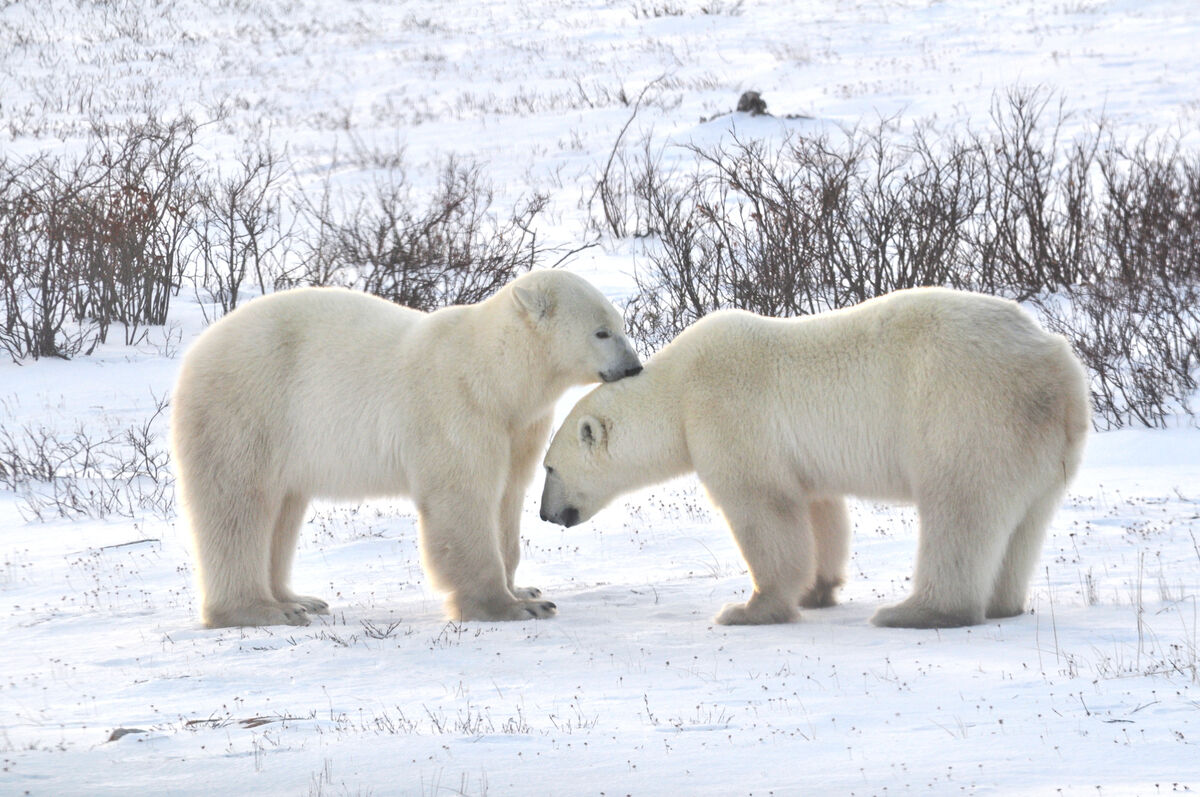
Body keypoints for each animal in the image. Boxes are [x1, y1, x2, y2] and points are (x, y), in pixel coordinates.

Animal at [170, 270, 643, 628]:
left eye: (621, 326)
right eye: (601, 332)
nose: (634, 367)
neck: (494, 375)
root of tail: (197, 350)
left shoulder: (517, 426)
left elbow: (506, 498)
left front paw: (525, 588)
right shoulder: (458, 410)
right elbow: (463, 501)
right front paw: (511, 606)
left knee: (282, 511)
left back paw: (298, 599)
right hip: (248, 408)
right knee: (238, 506)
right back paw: (260, 610)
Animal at [540, 287, 1090, 628]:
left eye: (549, 468)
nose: (546, 514)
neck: (677, 389)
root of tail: (1057, 367)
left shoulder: (727, 413)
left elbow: (763, 509)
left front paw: (749, 609)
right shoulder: (801, 459)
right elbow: (820, 511)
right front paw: (816, 591)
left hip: (967, 411)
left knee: (960, 509)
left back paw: (914, 611)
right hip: (1041, 445)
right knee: (1024, 522)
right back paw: (1002, 604)